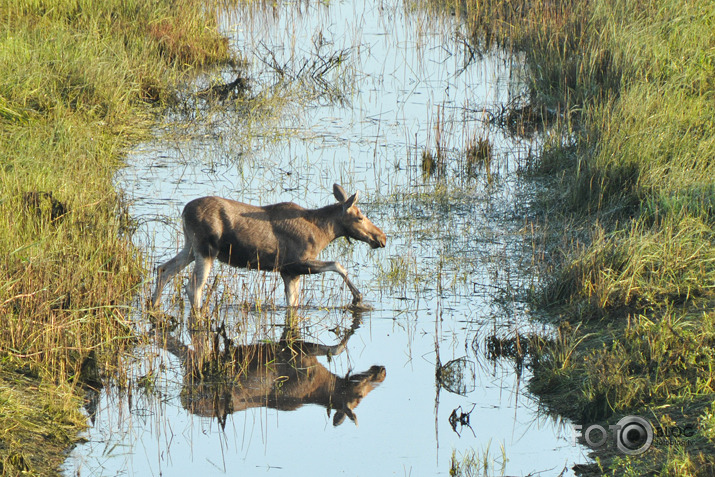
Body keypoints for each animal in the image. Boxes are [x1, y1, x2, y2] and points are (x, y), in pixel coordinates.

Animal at [150, 184, 386, 310]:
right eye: (360, 217)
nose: (381, 237)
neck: (323, 232)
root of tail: (183, 212)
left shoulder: (289, 272)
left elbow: (293, 302)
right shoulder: (297, 262)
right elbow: (338, 265)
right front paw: (358, 297)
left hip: (190, 246)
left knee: (164, 269)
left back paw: (153, 306)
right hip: (206, 249)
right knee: (193, 287)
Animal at [164, 316, 386, 424]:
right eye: (358, 396)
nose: (382, 371)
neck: (322, 383)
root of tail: (184, 400)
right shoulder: (298, 352)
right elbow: (335, 347)